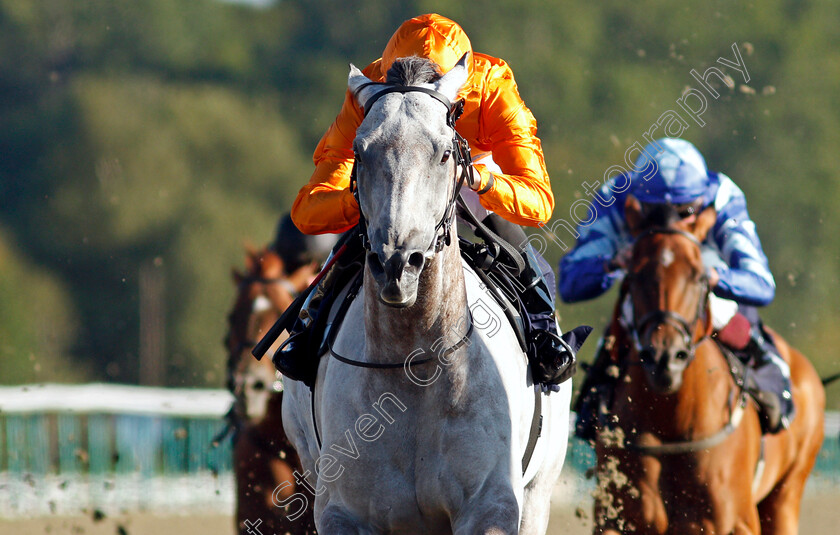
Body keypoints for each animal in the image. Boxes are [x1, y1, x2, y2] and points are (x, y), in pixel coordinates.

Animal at [282, 52, 572, 532]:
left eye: (444, 152)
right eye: (359, 151)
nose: (397, 266)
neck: (413, 366)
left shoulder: (490, 507)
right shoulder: (343, 511)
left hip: (539, 493)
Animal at [592, 201, 828, 535]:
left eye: (698, 277)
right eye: (634, 275)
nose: (665, 357)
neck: (670, 425)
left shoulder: (736, 522)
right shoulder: (614, 517)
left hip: (786, 497)